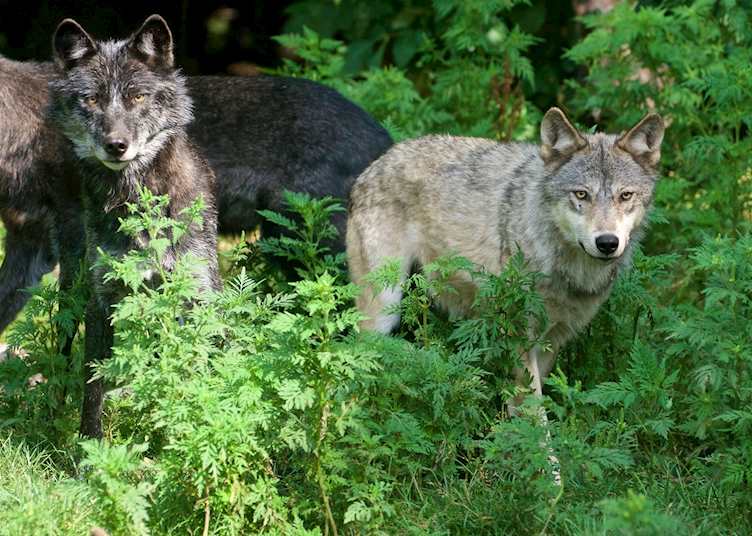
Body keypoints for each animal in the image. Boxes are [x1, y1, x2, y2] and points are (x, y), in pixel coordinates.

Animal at [50, 14, 222, 437]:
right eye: (92, 99)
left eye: (138, 98)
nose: (117, 145)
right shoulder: (101, 299)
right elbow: (93, 384)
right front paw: (87, 447)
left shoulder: (201, 290)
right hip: (71, 284)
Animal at [347, 107, 664, 401]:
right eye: (581, 194)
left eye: (625, 196)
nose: (607, 242)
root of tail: (375, 164)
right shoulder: (519, 335)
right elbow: (533, 409)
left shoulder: (554, 339)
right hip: (384, 307)